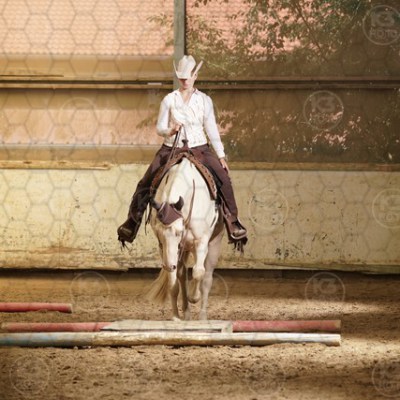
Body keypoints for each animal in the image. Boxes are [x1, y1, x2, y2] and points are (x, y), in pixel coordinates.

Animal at [146, 156, 224, 321]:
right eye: (160, 235)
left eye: (178, 232)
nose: (169, 266)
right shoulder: (166, 250)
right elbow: (173, 284)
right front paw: (176, 317)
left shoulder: (201, 242)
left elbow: (198, 272)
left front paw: (194, 297)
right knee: (182, 277)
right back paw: (186, 314)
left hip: (214, 244)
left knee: (206, 278)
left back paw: (202, 316)